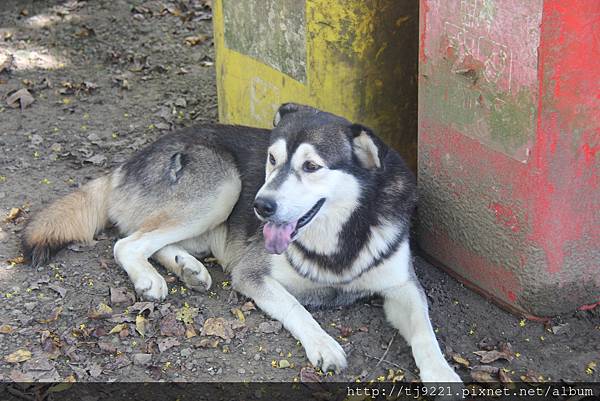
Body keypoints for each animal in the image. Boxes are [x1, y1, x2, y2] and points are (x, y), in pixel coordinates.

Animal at [23, 102, 462, 382]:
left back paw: (189, 269)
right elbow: (296, 308)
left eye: (311, 166)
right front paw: (323, 344)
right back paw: (150, 279)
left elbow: (425, 329)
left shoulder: (402, 286)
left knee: (151, 241)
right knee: (127, 243)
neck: (341, 235)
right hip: (223, 187)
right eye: (272, 159)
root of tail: (124, 164)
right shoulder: (254, 274)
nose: (261, 206)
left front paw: (441, 372)